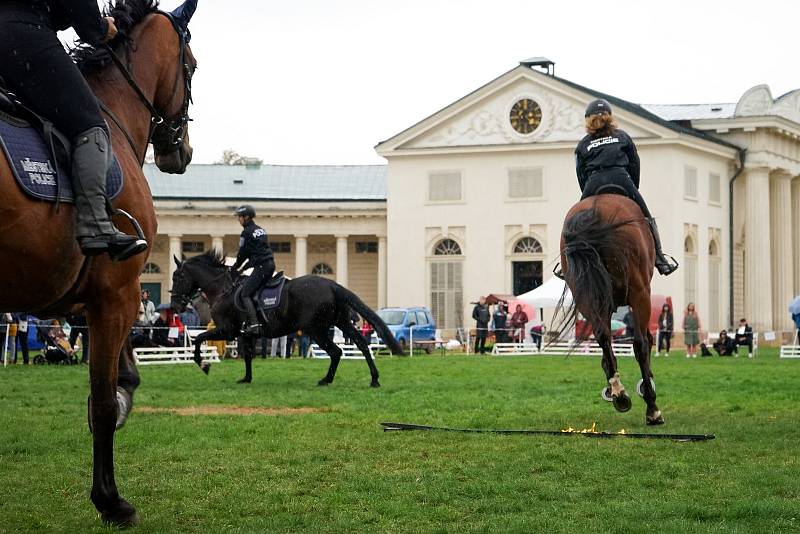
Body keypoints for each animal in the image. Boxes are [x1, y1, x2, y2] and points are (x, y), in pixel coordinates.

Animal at [0, 0, 198, 528]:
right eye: (191, 66)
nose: (182, 150)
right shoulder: (117, 292)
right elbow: (105, 404)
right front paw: (110, 500)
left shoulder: (92, 298)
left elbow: (121, 381)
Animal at [171, 253, 404, 388]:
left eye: (177, 277)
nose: (175, 305)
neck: (222, 290)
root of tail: (332, 284)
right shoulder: (244, 334)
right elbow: (247, 356)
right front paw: (246, 379)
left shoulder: (227, 330)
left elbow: (199, 338)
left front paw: (204, 364)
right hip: (341, 322)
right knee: (361, 344)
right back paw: (373, 379)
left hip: (316, 329)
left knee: (336, 351)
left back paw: (326, 380)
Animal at [556, 195, 664, 426]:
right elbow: (643, 343)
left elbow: (607, 353)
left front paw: (614, 388)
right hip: (640, 293)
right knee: (639, 344)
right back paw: (651, 407)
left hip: (588, 296)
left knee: (603, 337)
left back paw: (619, 393)